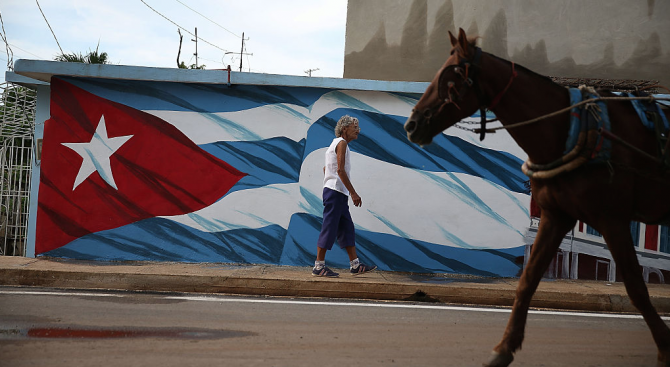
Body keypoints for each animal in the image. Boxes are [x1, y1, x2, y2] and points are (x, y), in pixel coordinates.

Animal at [406, 28, 670, 367]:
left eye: (451, 79)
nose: (412, 125)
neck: (568, 130)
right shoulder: (556, 215)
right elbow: (527, 280)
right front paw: (504, 348)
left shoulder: (612, 219)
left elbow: (637, 288)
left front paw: (664, 348)